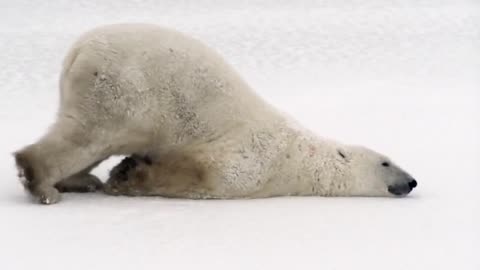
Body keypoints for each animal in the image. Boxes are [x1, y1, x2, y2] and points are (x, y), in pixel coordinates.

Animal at [13, 23, 414, 205]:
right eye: (386, 161)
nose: (411, 181)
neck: (301, 158)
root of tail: (79, 49)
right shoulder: (254, 159)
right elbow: (205, 175)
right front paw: (126, 176)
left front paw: (123, 173)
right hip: (122, 91)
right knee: (89, 136)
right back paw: (46, 186)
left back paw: (81, 180)